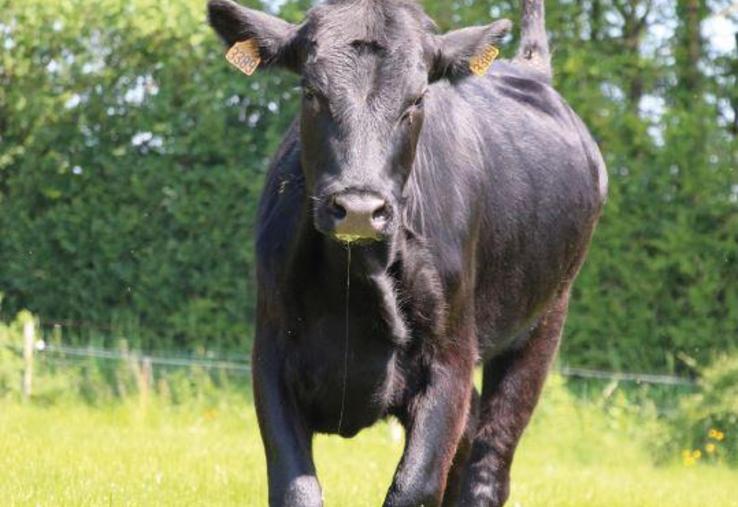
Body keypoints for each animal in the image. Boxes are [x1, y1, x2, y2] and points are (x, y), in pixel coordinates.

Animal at [207, 0, 607, 505]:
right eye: (311, 92)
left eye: (417, 100)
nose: (359, 209)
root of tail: (530, 69)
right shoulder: (271, 354)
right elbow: (295, 488)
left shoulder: (450, 358)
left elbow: (414, 485)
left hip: (545, 318)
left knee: (489, 460)